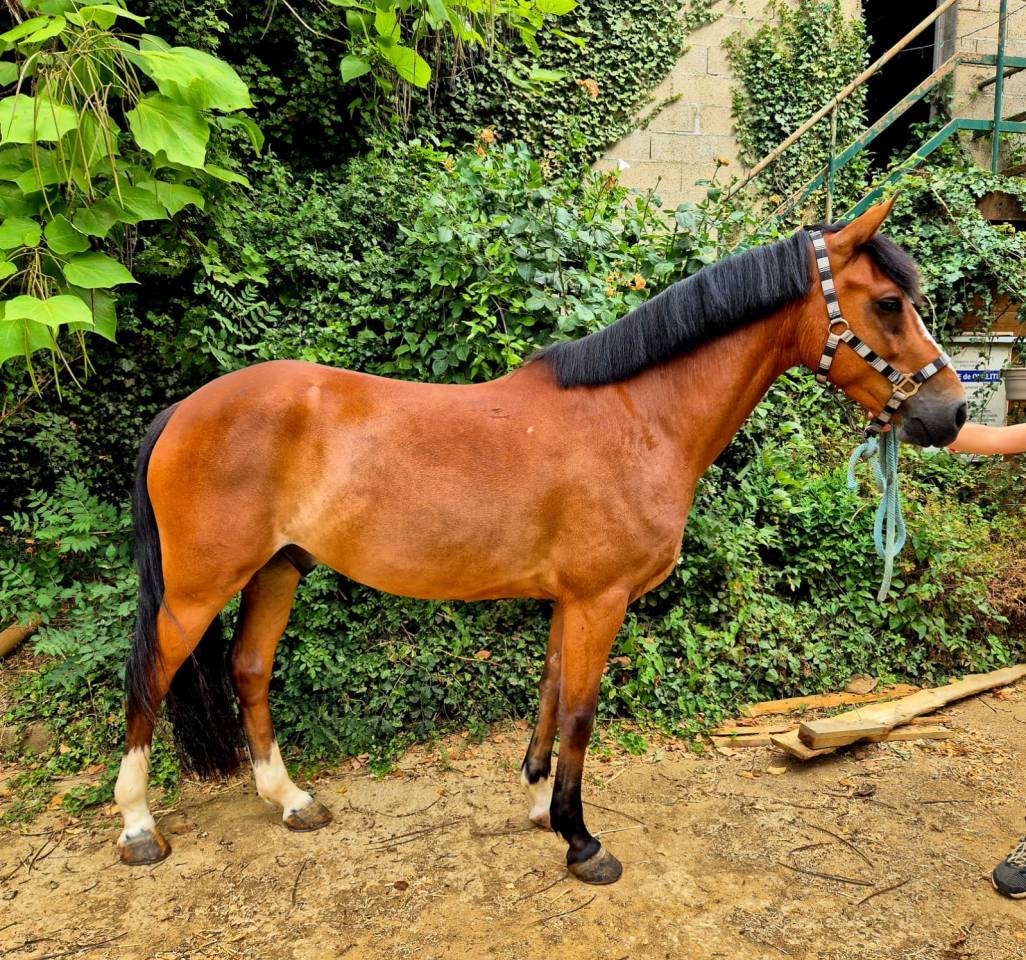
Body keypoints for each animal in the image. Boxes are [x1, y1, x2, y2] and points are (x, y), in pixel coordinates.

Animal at [114, 198, 966, 884]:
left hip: (278, 569)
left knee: (249, 669)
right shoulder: (600, 599)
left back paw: (289, 800)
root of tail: (183, 410)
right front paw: (582, 841)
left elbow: (551, 695)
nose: (953, 413)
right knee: (149, 678)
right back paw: (138, 827)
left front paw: (536, 803)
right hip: (199, 587)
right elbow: (583, 714)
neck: (636, 415)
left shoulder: (570, 600)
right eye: (890, 303)